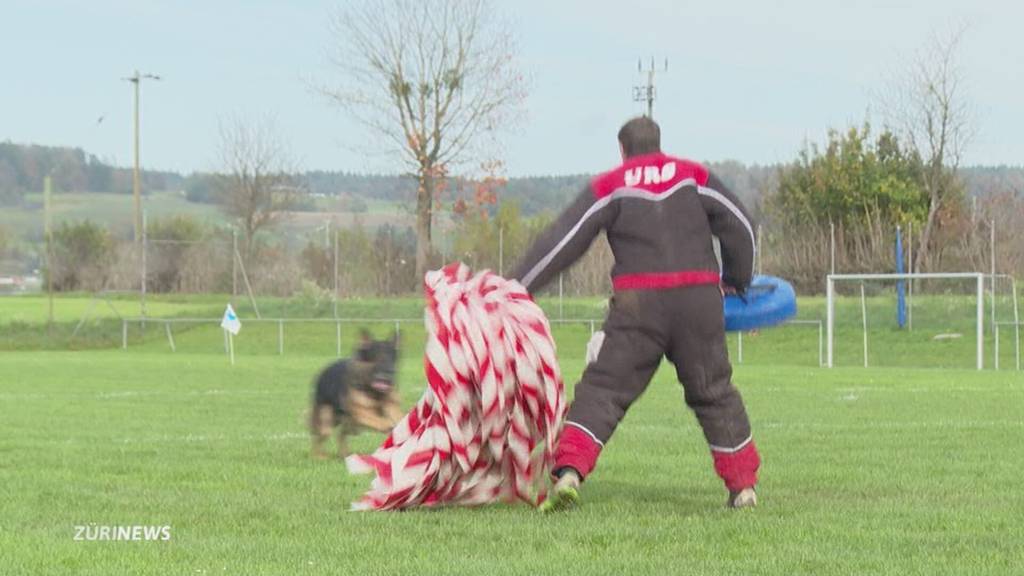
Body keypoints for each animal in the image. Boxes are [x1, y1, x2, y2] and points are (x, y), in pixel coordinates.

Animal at [309, 327, 401, 457]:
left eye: (391, 358)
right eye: (377, 356)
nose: (390, 372)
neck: (373, 391)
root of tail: (322, 372)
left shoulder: (391, 405)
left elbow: (398, 416)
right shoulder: (360, 412)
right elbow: (378, 419)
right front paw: (387, 424)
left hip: (350, 424)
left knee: (341, 434)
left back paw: (344, 454)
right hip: (328, 420)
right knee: (319, 436)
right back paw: (318, 456)